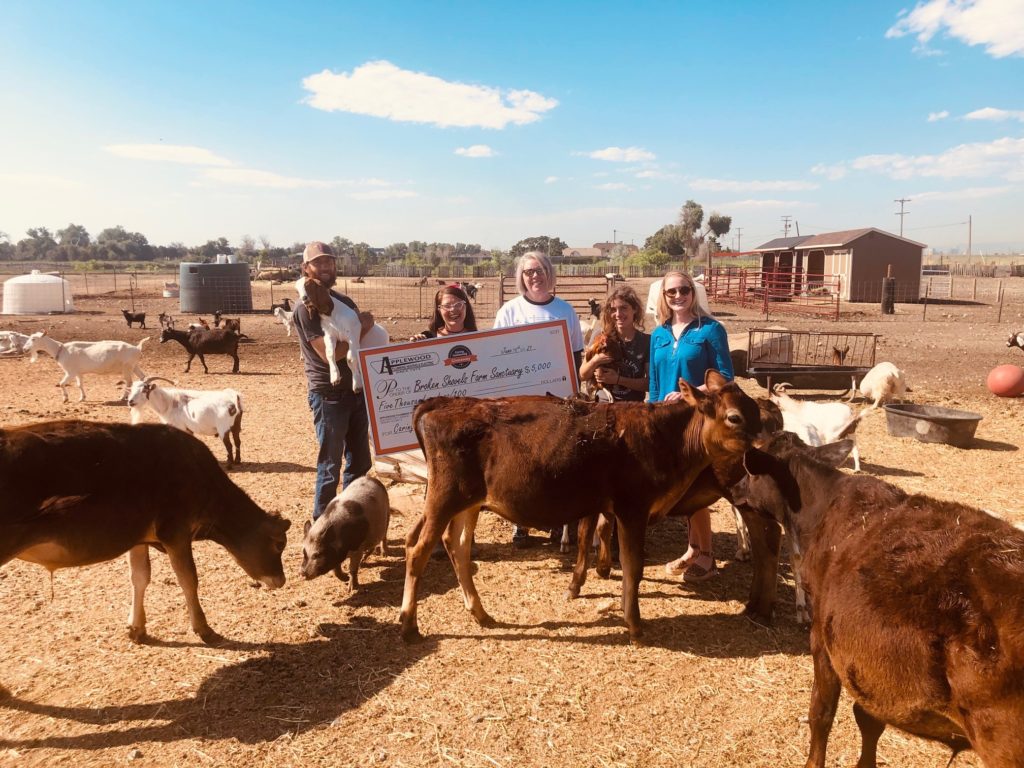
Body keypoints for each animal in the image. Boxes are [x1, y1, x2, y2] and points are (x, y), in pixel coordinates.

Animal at [2, 423, 290, 647]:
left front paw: (137, 628)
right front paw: (204, 629)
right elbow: (188, 578)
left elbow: (139, 577)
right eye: (279, 544)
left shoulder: (138, 536)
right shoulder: (175, 531)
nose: (281, 580)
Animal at [403, 370, 765, 647]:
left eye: (758, 411)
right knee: (418, 550)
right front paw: (635, 627)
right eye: (734, 417)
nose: (765, 445)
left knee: (458, 546)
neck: (665, 439)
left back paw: (480, 613)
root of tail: (443, 402)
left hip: (468, 502)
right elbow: (633, 568)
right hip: (443, 498)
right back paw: (409, 626)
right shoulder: (632, 508)